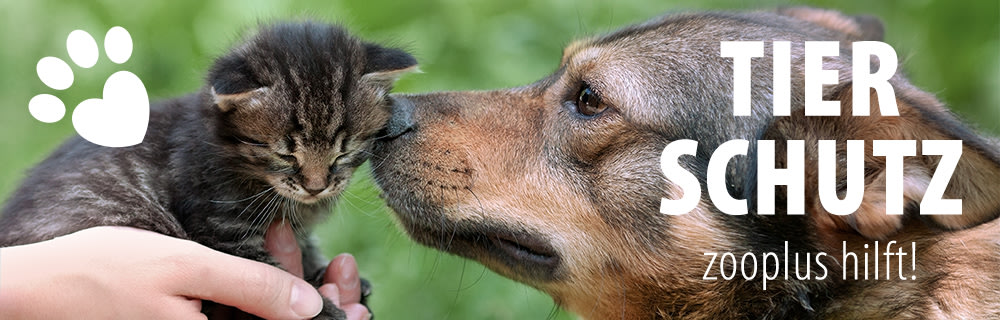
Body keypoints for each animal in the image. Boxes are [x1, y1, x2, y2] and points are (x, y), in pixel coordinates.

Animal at [0, 21, 414, 318]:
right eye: (285, 154)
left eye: (343, 151)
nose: (317, 186)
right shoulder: (219, 229)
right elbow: (272, 269)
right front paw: (316, 306)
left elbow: (305, 246)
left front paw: (321, 272)